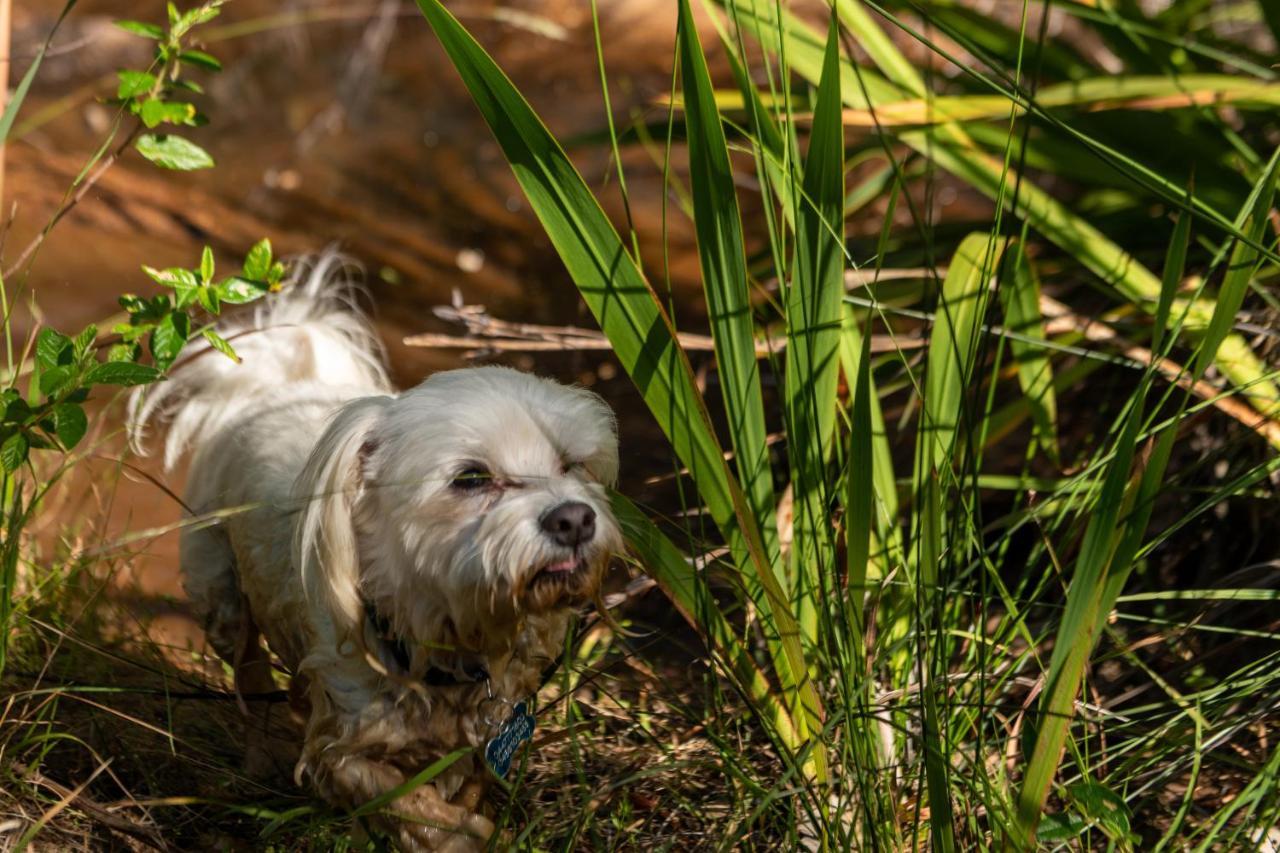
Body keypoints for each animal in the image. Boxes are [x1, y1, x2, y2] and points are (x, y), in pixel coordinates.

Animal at [129, 253, 624, 850]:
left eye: (571, 465)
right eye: (471, 478)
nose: (574, 519)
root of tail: (273, 384)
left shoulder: (487, 731)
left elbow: (461, 787)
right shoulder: (342, 751)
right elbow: (412, 806)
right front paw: (465, 834)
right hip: (220, 589)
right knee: (248, 671)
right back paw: (261, 754)